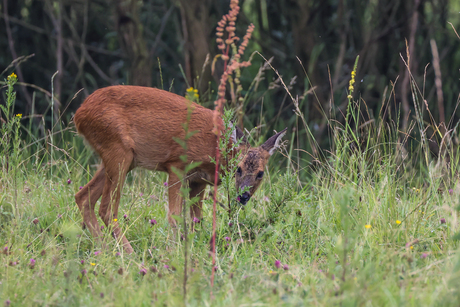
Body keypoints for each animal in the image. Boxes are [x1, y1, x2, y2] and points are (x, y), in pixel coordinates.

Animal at [73, 85, 286, 254]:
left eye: (260, 173)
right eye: (238, 169)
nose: (243, 196)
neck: (216, 150)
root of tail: (79, 113)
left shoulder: (199, 180)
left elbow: (197, 219)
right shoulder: (176, 165)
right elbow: (174, 215)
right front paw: (174, 252)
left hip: (121, 158)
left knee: (83, 197)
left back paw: (103, 250)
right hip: (118, 151)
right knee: (107, 208)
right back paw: (130, 254)